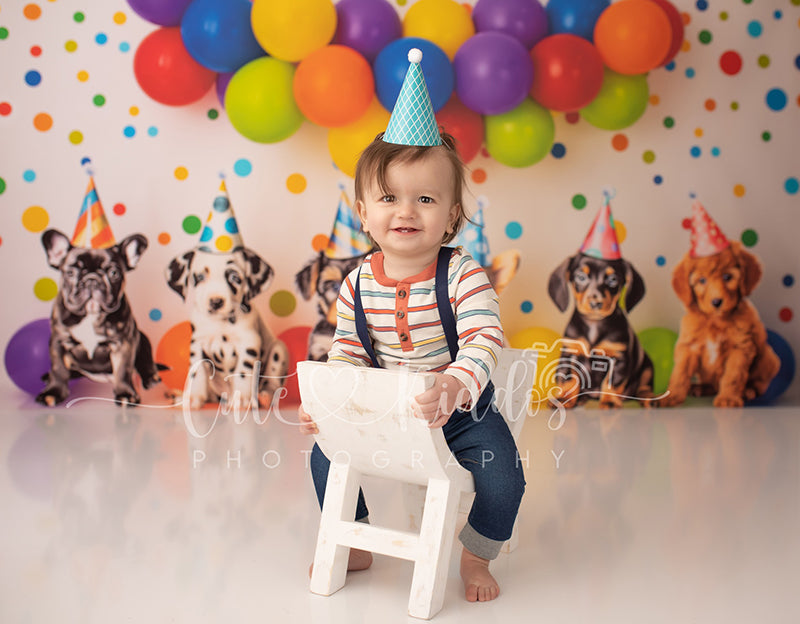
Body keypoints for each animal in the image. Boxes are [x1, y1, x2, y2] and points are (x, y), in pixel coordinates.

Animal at [166, 249, 288, 410]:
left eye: (234, 277)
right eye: (200, 277)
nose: (216, 302)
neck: (220, 322)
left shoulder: (249, 342)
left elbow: (243, 371)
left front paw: (242, 397)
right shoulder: (197, 344)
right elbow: (197, 371)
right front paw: (193, 397)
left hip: (279, 350)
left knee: (273, 382)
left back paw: (265, 396)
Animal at [552, 255, 656, 410]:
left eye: (613, 279)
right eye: (581, 277)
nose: (596, 303)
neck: (594, 323)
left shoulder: (619, 359)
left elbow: (611, 382)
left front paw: (610, 401)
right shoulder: (569, 354)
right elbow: (569, 380)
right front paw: (563, 399)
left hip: (647, 367)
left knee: (644, 387)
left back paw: (648, 398)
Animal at [656, 241, 780, 408]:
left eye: (727, 277)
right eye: (702, 280)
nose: (716, 302)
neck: (715, 320)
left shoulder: (740, 348)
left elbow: (733, 375)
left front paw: (728, 398)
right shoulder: (689, 346)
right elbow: (680, 373)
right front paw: (672, 396)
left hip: (769, 358)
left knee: (759, 384)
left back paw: (748, 391)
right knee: (712, 385)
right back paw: (700, 388)